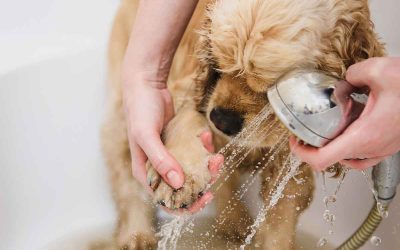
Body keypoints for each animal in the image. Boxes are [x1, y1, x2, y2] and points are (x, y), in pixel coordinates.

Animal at [101, 0, 386, 248]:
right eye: (218, 63)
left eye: (271, 87)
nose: (221, 120)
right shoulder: (190, 88)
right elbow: (186, 120)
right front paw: (177, 179)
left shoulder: (291, 165)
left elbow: (279, 222)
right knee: (125, 179)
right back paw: (136, 236)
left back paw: (235, 223)